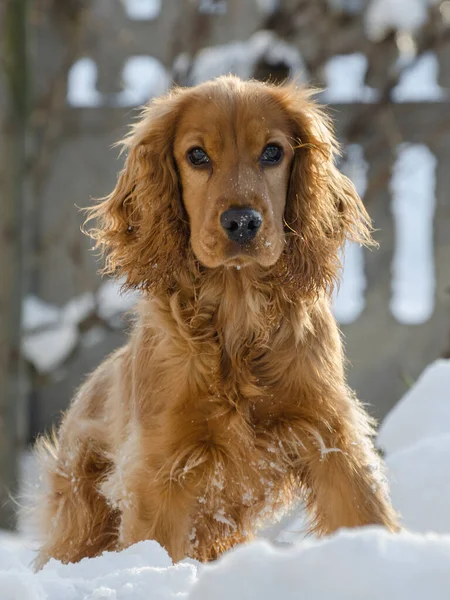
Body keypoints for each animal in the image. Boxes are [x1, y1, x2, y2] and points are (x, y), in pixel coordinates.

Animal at [36, 75, 400, 568]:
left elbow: (363, 511)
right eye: (197, 156)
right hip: (82, 517)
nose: (242, 222)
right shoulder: (160, 472)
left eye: (273, 152)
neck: (237, 315)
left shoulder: (330, 435)